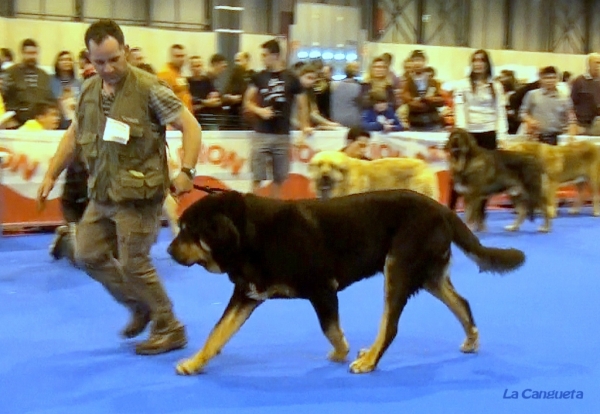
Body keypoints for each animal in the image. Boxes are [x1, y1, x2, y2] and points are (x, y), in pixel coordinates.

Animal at [166, 188, 524, 376]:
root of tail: (442, 209)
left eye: (188, 231)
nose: (168, 250)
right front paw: (195, 362)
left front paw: (342, 352)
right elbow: (217, 332)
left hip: (398, 269)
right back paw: (471, 339)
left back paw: (368, 360)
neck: (251, 235)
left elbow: (332, 331)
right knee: (461, 303)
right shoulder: (247, 294)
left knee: (390, 326)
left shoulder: (323, 289)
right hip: (429, 276)